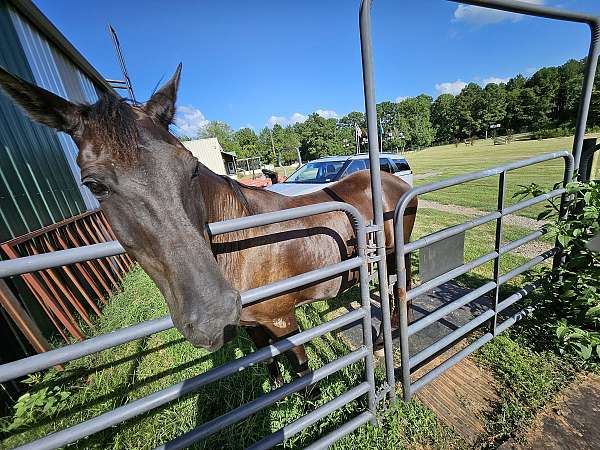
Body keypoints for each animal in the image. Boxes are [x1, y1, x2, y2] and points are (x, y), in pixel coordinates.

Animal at [0, 65, 418, 384]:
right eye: (94, 185)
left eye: (190, 167)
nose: (210, 315)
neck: (243, 243)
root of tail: (393, 179)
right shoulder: (251, 323)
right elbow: (266, 358)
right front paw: (275, 389)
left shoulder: (282, 319)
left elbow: (300, 367)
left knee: (400, 285)